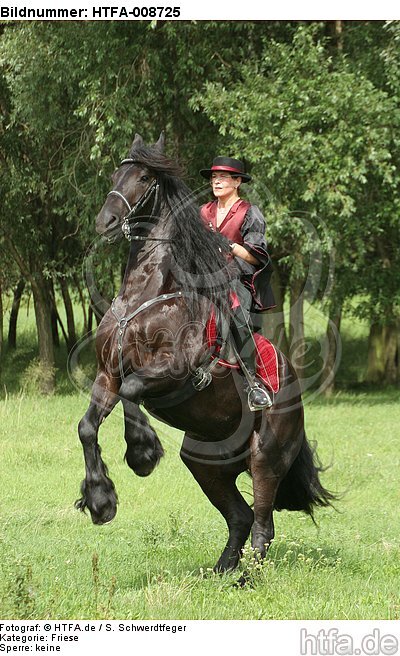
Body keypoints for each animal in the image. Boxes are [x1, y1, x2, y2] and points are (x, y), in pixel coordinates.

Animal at [76, 133, 334, 574]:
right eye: (114, 174)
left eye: (144, 177)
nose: (105, 222)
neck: (146, 296)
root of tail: (293, 389)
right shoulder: (107, 374)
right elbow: (88, 427)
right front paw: (100, 500)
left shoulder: (173, 372)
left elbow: (132, 391)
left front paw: (142, 453)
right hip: (204, 462)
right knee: (240, 517)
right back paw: (221, 573)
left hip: (265, 457)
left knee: (263, 525)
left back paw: (247, 580)